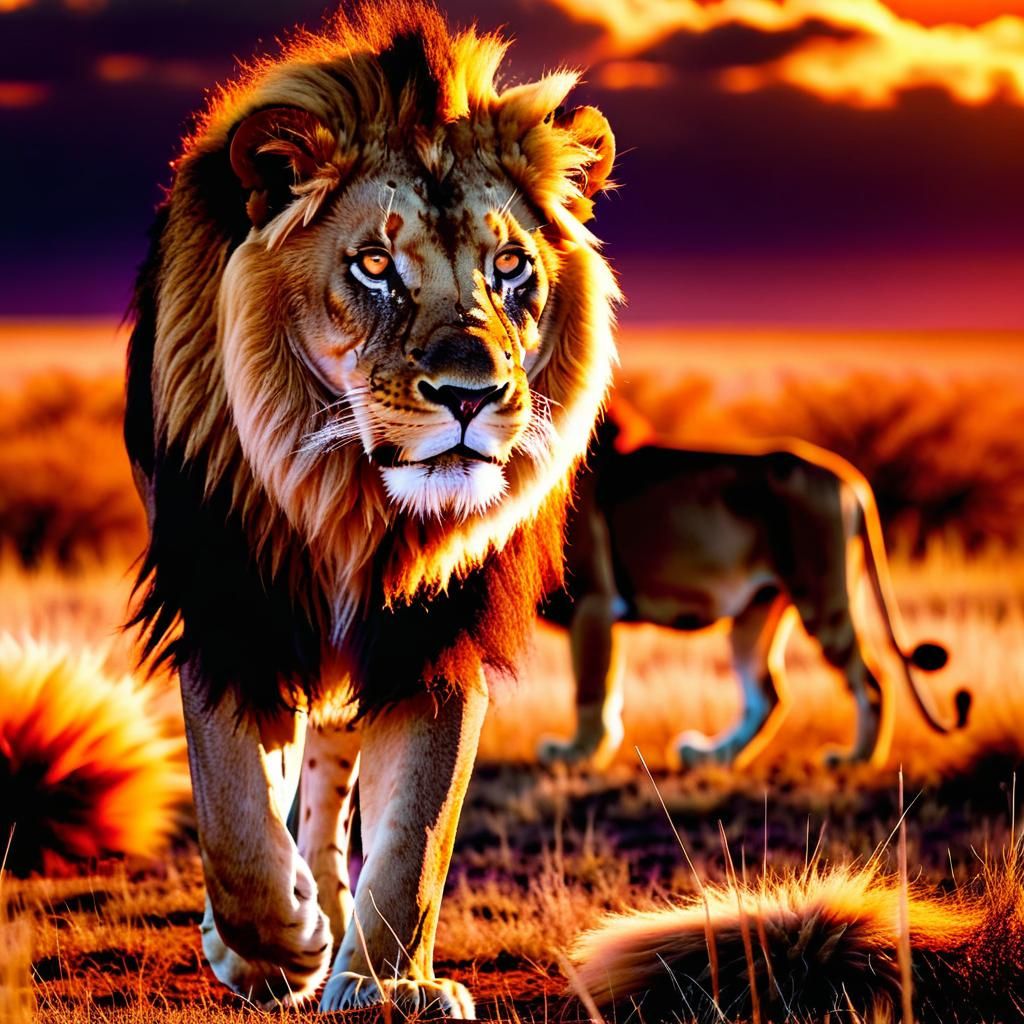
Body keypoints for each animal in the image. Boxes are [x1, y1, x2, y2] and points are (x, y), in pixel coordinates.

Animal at [124, 3, 618, 1013]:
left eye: (512, 266)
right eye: (376, 265)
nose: (471, 394)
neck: (353, 498)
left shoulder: (436, 635)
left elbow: (417, 838)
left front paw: (386, 983)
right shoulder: (231, 605)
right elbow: (234, 811)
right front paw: (274, 947)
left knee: (331, 765)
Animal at [538, 406, 968, 772]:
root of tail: (851, 481)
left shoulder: (591, 597)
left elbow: (592, 685)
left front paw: (578, 754)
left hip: (822, 595)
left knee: (873, 681)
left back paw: (854, 760)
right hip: (758, 606)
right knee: (767, 693)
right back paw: (710, 756)